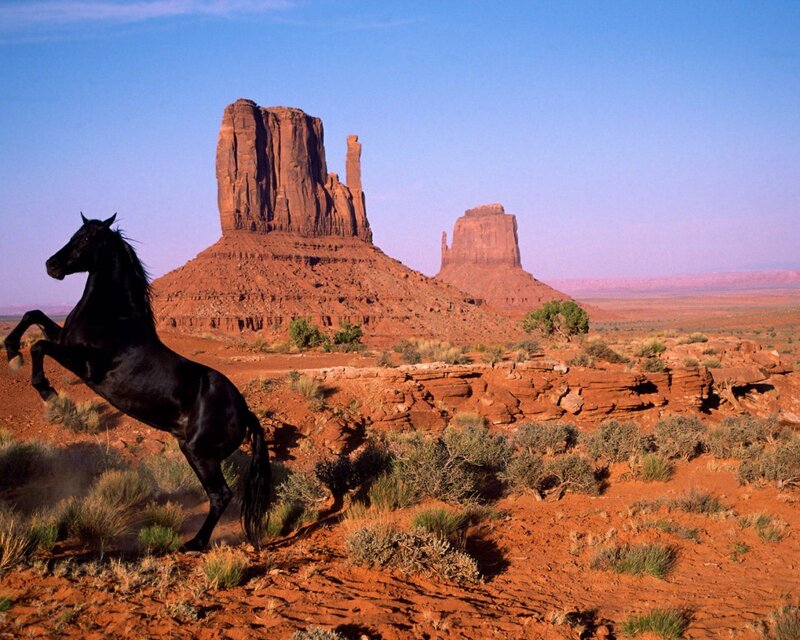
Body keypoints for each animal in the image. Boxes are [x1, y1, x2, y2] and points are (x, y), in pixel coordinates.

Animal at [3, 214, 270, 551]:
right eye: (75, 232)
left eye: (88, 238)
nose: (52, 265)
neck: (112, 319)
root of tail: (246, 412)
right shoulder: (64, 340)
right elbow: (33, 314)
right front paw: (11, 349)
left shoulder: (86, 366)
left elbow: (39, 346)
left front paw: (45, 389)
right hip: (191, 449)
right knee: (217, 495)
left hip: (201, 453)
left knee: (220, 495)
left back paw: (193, 543)